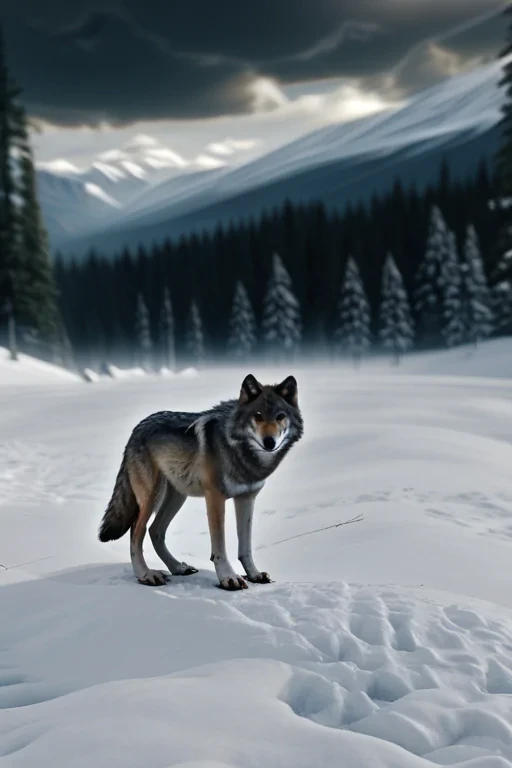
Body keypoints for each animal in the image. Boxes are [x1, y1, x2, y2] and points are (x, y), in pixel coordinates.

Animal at [98, 374, 303, 590]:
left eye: (280, 416)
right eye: (258, 416)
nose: (269, 442)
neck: (241, 453)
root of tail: (137, 429)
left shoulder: (247, 498)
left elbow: (245, 546)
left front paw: (254, 575)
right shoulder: (215, 497)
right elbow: (219, 546)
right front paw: (228, 578)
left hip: (177, 497)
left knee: (155, 531)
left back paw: (178, 567)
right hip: (152, 498)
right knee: (136, 532)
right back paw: (146, 575)